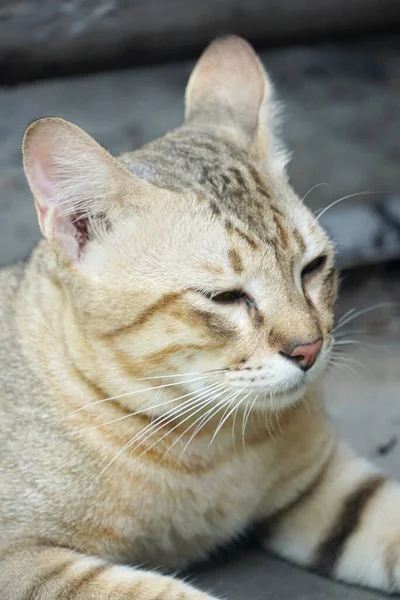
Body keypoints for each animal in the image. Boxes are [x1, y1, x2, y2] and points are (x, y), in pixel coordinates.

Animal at [0, 35, 400, 596]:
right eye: (225, 297)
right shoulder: (21, 560)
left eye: (312, 268)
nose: (310, 349)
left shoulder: (323, 483)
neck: (208, 446)